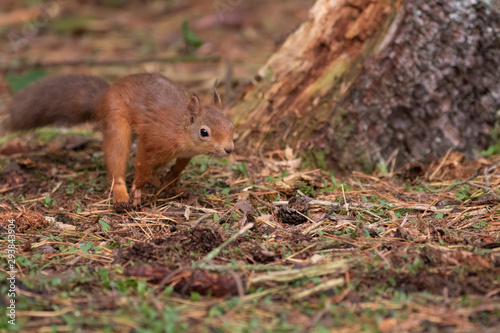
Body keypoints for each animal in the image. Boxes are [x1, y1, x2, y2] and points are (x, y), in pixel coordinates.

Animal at [3, 73, 234, 208]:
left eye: (231, 124)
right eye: (204, 132)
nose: (229, 149)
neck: (180, 130)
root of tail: (103, 97)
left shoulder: (185, 154)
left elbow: (178, 168)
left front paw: (170, 180)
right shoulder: (154, 140)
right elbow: (141, 164)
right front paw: (138, 190)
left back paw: (162, 182)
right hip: (116, 120)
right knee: (117, 157)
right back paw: (122, 193)